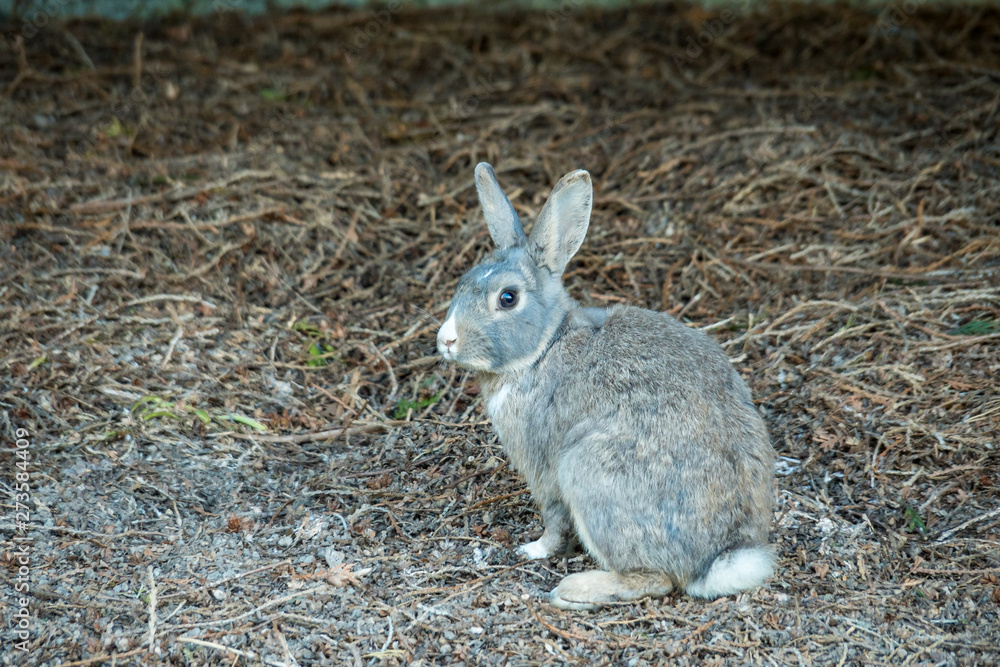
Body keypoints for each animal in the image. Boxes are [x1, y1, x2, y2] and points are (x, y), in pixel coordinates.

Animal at [436, 162, 775, 610]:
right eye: (463, 280)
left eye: (508, 298)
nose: (446, 340)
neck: (545, 346)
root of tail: (715, 559)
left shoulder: (544, 468)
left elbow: (554, 522)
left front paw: (533, 550)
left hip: (588, 471)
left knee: (655, 578)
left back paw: (574, 590)